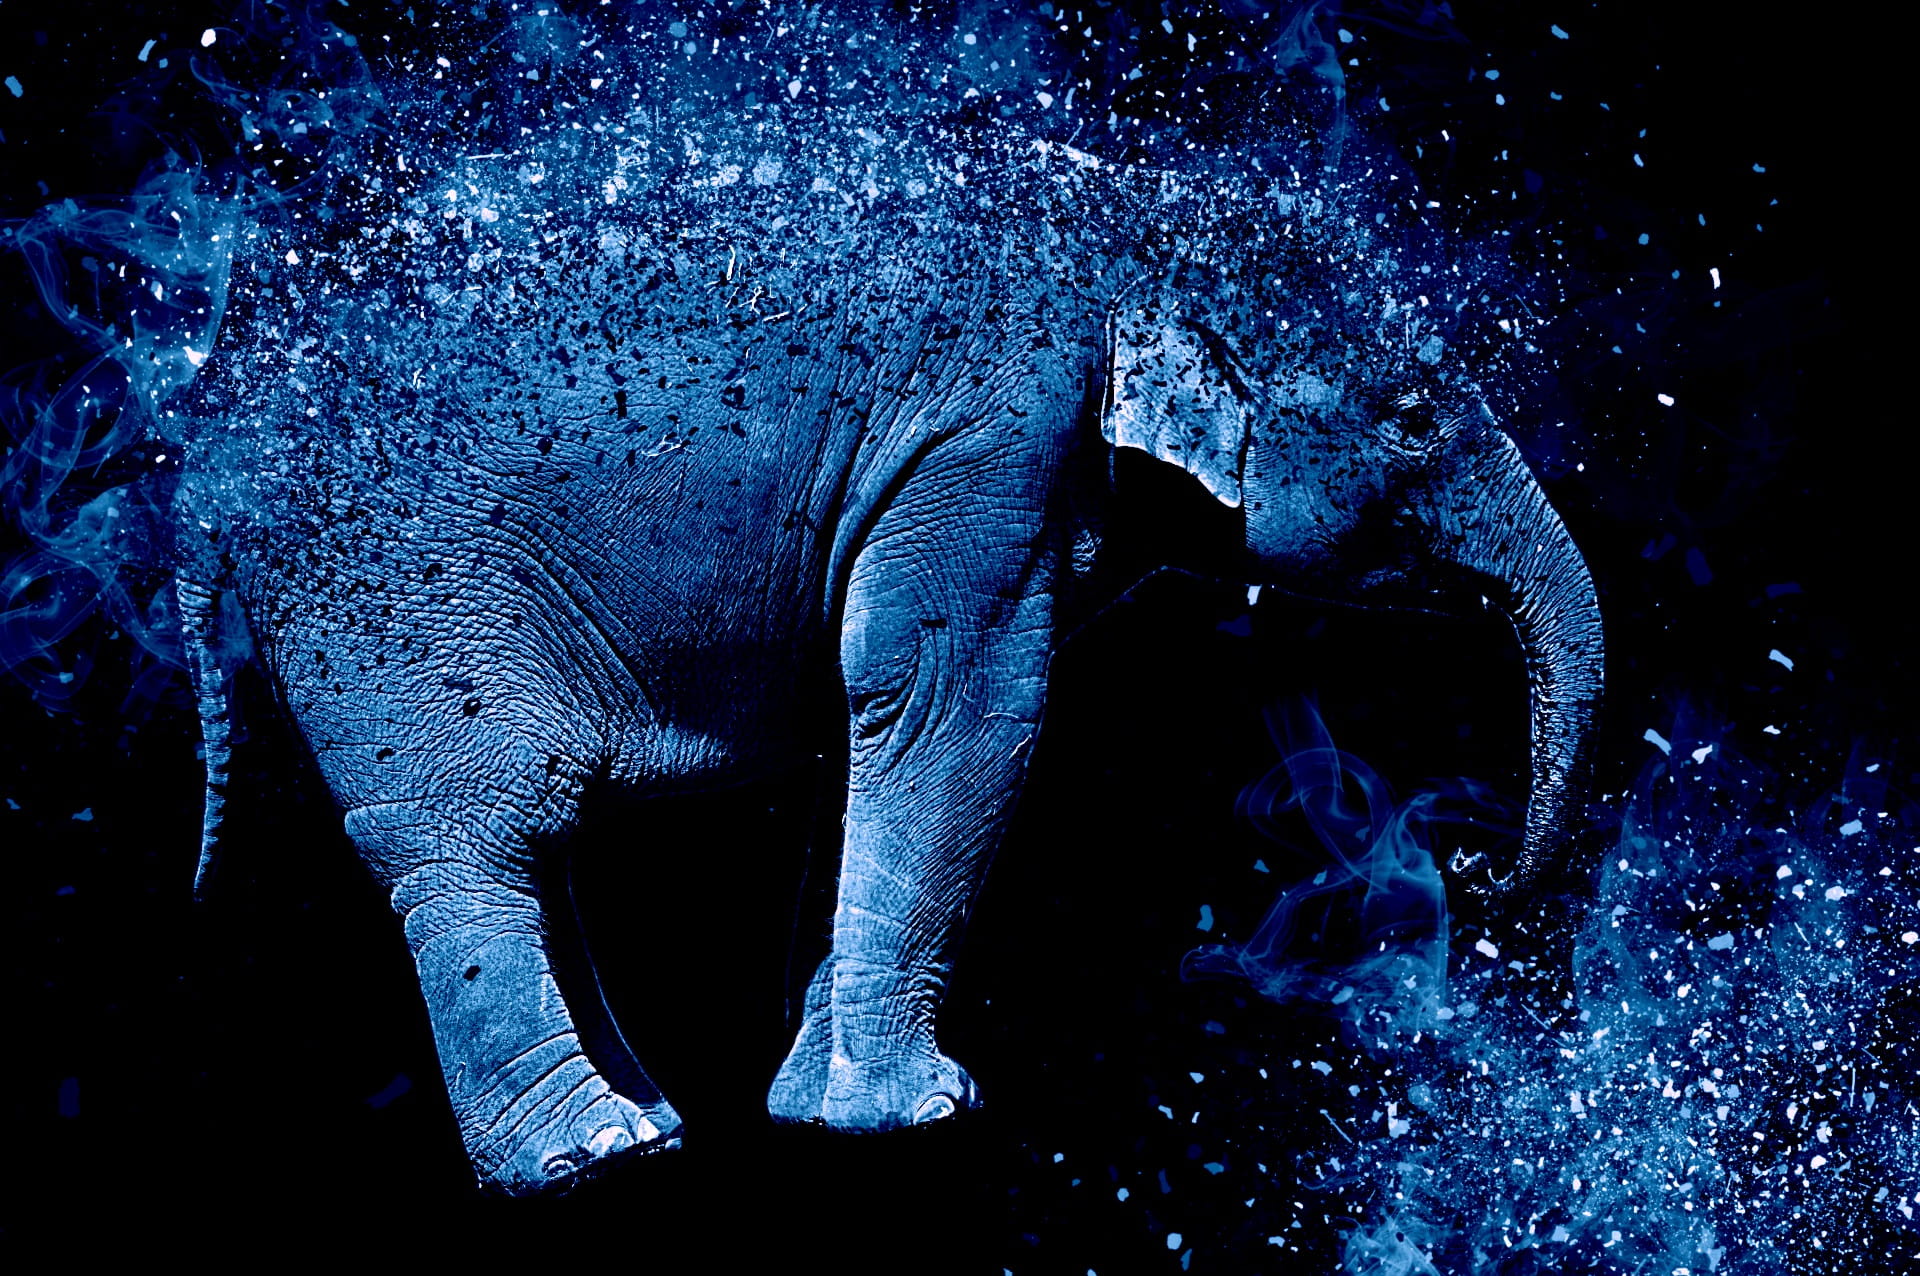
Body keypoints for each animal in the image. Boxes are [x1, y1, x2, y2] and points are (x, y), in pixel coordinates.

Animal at [165, 86, 1604, 1197]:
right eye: (1415, 418)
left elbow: (862, 734)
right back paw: (590, 1157)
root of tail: (203, 454)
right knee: (474, 833)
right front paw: (920, 1115)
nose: (1484, 880)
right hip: (391, 607)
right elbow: (951, 697)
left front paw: (822, 1112)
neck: (1135, 221)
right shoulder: (990, 439)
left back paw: (650, 1124)